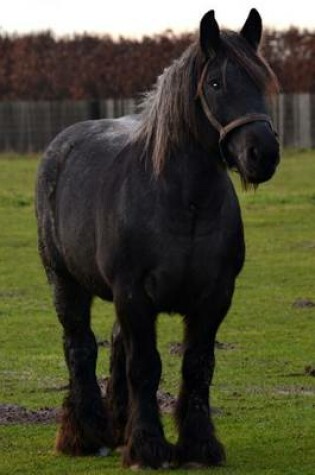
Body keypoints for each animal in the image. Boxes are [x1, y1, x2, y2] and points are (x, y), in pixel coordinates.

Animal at [35, 9, 280, 470]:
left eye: (262, 81)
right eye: (215, 83)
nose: (263, 154)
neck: (184, 204)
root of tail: (61, 144)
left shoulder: (216, 296)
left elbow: (198, 366)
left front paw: (199, 445)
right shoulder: (133, 293)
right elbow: (145, 367)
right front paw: (149, 447)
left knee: (114, 344)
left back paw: (117, 426)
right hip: (65, 282)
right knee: (80, 346)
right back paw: (87, 434)